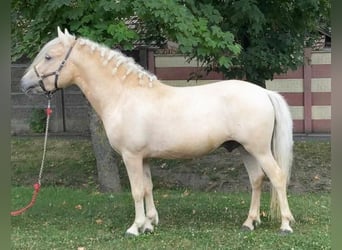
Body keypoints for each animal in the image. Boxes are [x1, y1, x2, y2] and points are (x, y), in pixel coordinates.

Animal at [20, 27, 294, 236]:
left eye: (48, 57)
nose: (24, 84)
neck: (124, 95)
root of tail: (264, 92)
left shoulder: (131, 156)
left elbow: (136, 190)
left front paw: (135, 227)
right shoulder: (144, 158)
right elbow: (148, 188)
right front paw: (150, 224)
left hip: (259, 150)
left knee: (277, 177)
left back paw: (285, 225)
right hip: (245, 150)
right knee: (256, 180)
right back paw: (249, 222)